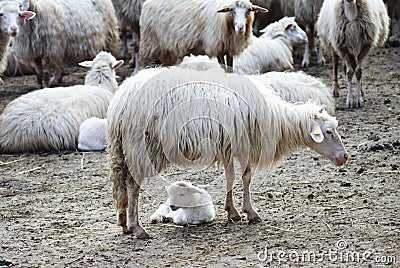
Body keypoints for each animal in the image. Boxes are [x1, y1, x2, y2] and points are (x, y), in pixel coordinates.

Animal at [106, 66, 346, 238]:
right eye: (329, 132)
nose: (345, 157)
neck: (276, 120)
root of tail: (121, 100)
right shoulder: (244, 144)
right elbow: (246, 177)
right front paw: (250, 213)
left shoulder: (229, 145)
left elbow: (230, 177)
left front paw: (232, 211)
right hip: (143, 147)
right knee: (133, 186)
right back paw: (137, 228)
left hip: (122, 148)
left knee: (121, 185)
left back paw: (123, 222)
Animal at [139, 0, 268, 70]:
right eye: (232, 10)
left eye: (248, 11)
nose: (240, 28)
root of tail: (147, 3)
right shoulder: (217, 47)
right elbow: (223, 67)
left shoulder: (229, 49)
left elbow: (230, 68)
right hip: (150, 46)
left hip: (167, 52)